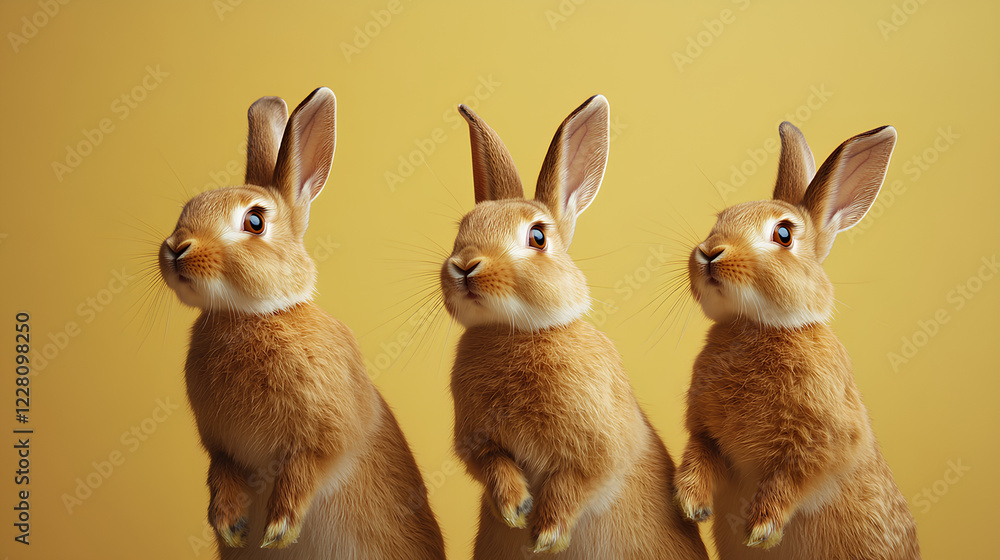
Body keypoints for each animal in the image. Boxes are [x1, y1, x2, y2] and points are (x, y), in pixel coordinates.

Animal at [158, 87, 446, 559]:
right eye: (187, 209)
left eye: (255, 221)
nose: (177, 248)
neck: (252, 314)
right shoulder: (220, 445)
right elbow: (222, 472)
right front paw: (229, 524)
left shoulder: (328, 432)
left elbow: (309, 466)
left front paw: (279, 528)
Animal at [441, 95, 709, 559]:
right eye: (463, 228)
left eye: (537, 237)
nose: (465, 265)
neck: (516, 332)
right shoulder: (479, 442)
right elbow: (493, 465)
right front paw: (515, 508)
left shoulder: (599, 446)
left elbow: (575, 481)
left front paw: (546, 534)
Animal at [673, 121, 920, 559]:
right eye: (719, 220)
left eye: (784, 234)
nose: (710, 252)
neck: (757, 326)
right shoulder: (706, 432)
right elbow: (701, 455)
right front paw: (691, 505)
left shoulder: (825, 443)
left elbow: (793, 479)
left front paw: (761, 528)